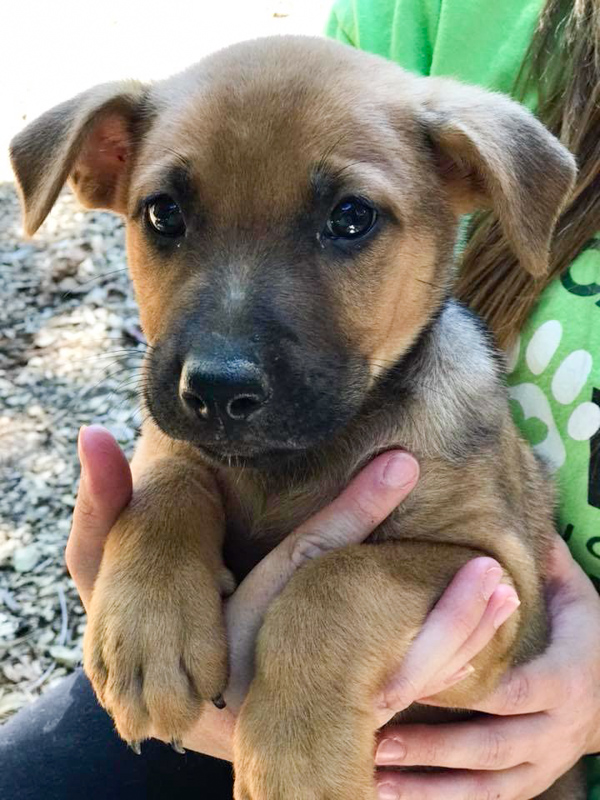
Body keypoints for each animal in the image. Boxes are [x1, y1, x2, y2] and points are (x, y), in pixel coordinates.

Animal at [10, 34, 584, 796]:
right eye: (163, 213)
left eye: (351, 218)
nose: (218, 391)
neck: (288, 465)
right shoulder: (177, 437)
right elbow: (168, 478)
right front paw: (148, 628)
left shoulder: (503, 584)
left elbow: (337, 578)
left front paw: (296, 753)